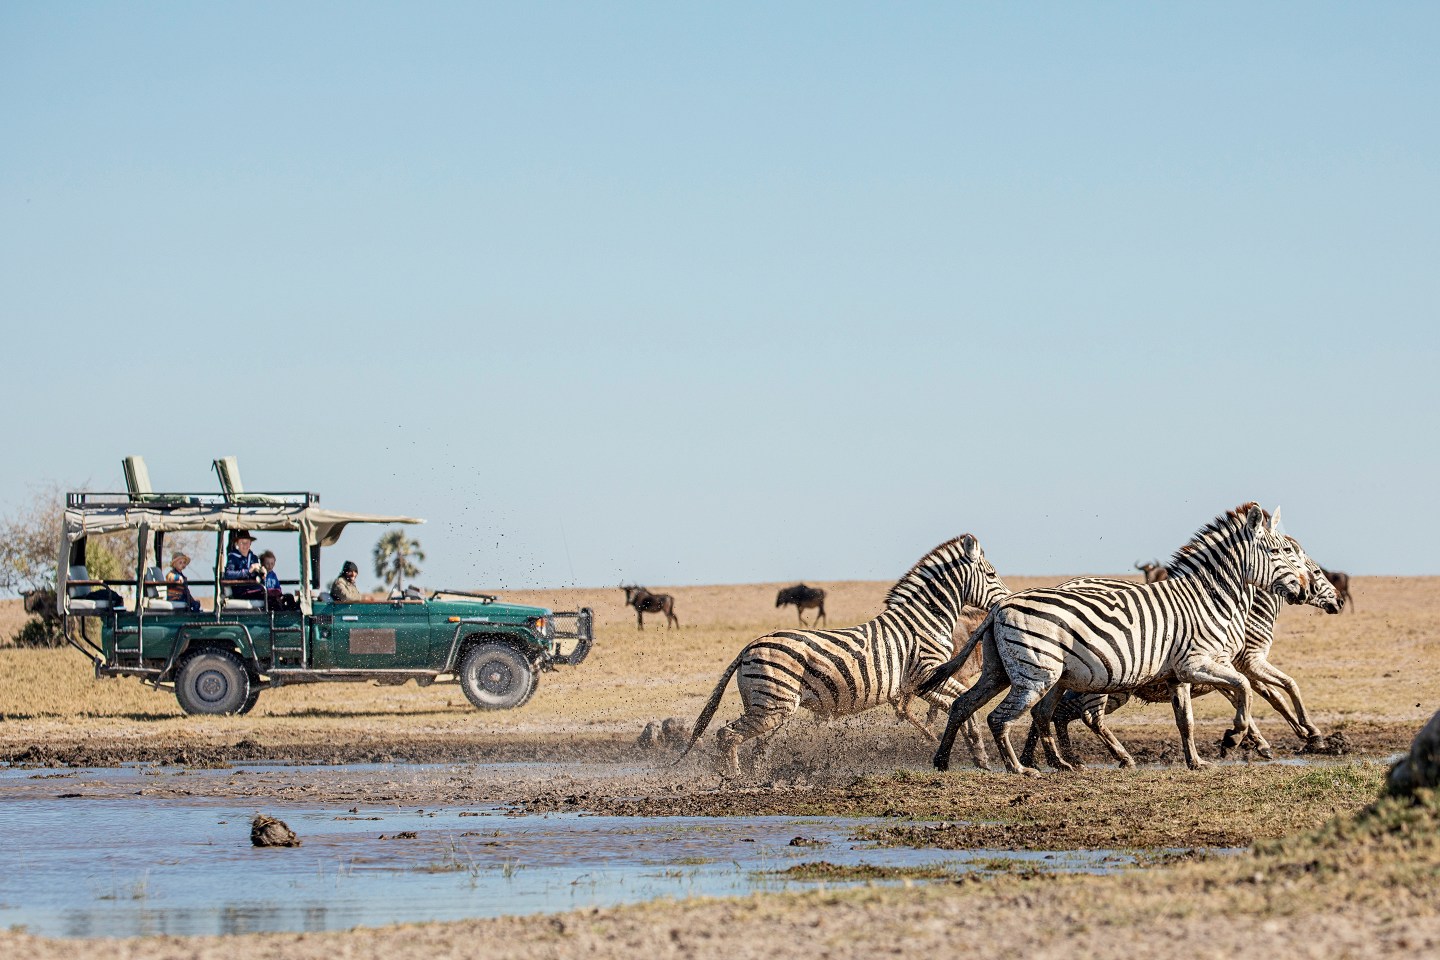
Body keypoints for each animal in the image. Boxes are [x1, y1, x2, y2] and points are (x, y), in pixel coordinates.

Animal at [678, 535, 1010, 776]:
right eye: (992, 574)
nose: (1007, 599)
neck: (923, 620)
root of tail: (749, 646)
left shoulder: (923, 683)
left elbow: (960, 705)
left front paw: (979, 757)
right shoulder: (926, 674)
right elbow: (962, 701)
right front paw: (977, 754)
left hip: (771, 706)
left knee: (755, 746)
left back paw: (755, 780)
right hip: (771, 706)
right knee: (727, 735)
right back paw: (732, 779)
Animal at [920, 503, 1306, 775]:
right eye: (1280, 553)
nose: (1303, 589)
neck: (1208, 598)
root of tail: (1000, 606)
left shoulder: (1178, 675)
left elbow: (1187, 720)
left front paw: (1197, 762)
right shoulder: (1199, 663)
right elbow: (1244, 687)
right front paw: (1232, 738)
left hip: (1001, 671)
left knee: (967, 705)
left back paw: (946, 762)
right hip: (1036, 676)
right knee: (1001, 718)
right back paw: (1020, 768)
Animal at [1018, 542, 1342, 770]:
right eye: (1316, 573)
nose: (1338, 601)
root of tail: (1065, 586)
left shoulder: (1228, 668)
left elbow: (1258, 695)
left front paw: (1257, 739)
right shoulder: (1249, 662)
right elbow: (1281, 690)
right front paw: (1307, 733)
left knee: (1049, 711)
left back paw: (1040, 758)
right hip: (1103, 683)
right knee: (1074, 713)